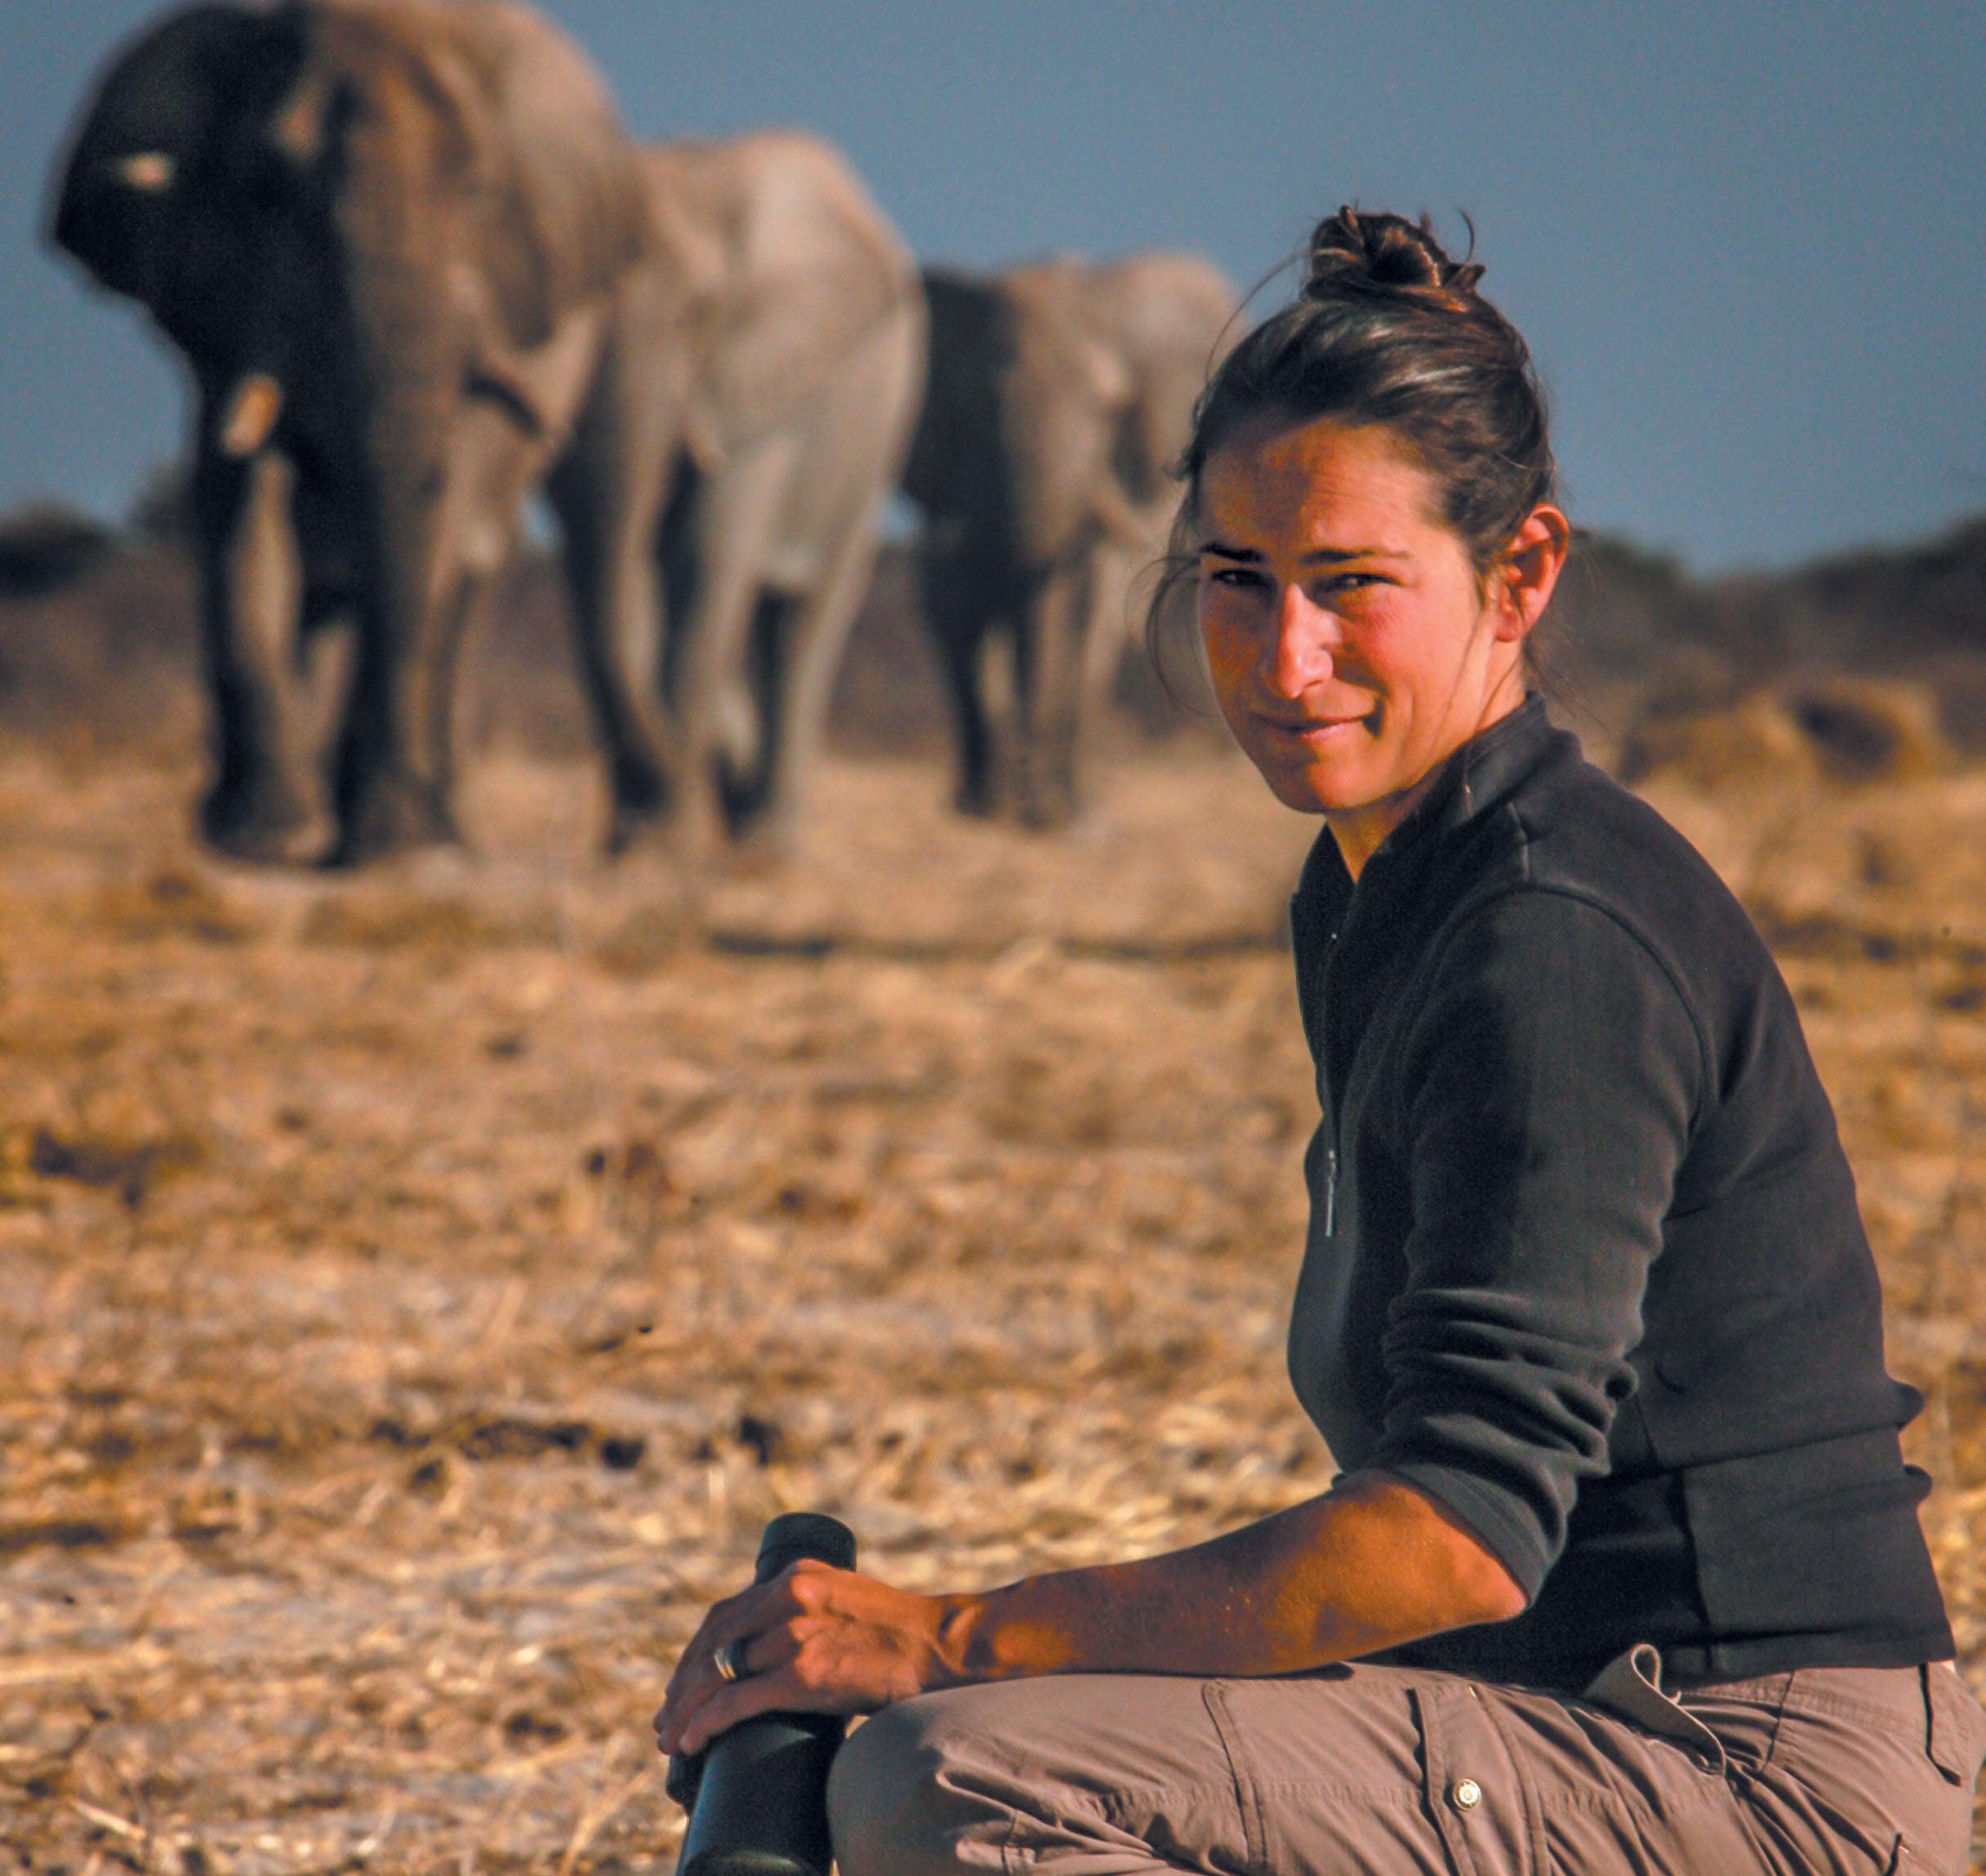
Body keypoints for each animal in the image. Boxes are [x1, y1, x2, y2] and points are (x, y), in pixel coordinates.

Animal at [49, 2, 924, 865]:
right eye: (267, 190)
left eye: (477, 190)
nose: (673, 799)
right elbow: (239, 503)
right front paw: (264, 838)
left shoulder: (756, 384)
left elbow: (695, 562)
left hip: (878, 429)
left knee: (797, 621)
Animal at [901, 251, 1237, 826]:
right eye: (982, 401)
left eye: (1109, 411)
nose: (1031, 814)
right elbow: (955, 613)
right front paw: (980, 809)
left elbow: (1073, 615)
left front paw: (1051, 813)